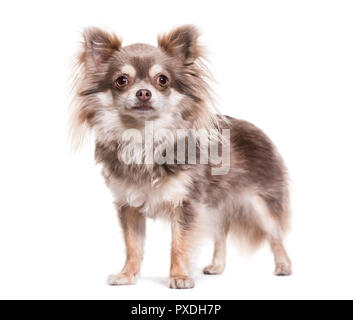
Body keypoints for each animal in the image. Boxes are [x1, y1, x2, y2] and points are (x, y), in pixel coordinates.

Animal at [70, 25, 290, 290]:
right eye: (121, 80)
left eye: (162, 80)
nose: (143, 92)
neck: (144, 137)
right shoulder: (128, 205)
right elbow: (133, 246)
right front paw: (127, 275)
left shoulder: (187, 204)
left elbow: (180, 244)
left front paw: (180, 277)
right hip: (215, 207)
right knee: (220, 234)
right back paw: (217, 266)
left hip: (260, 204)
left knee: (275, 234)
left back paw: (283, 266)